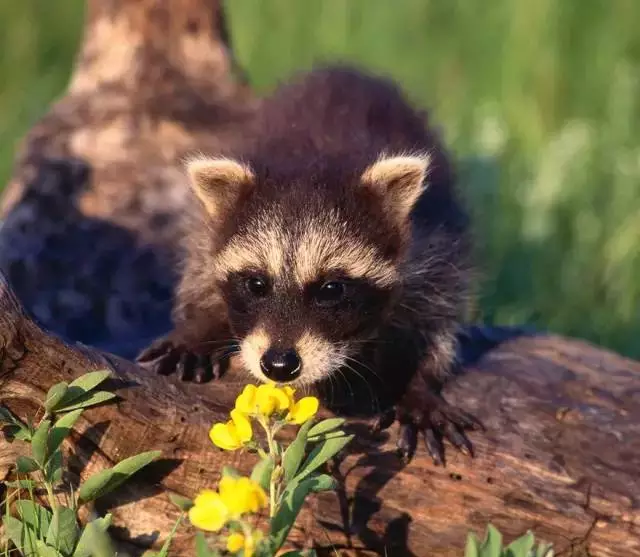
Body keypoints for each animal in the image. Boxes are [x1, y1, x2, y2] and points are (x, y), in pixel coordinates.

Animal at [138, 65, 482, 460]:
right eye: (256, 284)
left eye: (331, 289)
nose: (279, 365)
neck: (317, 165)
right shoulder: (207, 231)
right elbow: (199, 269)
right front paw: (201, 325)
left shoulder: (434, 239)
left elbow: (437, 315)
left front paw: (419, 383)